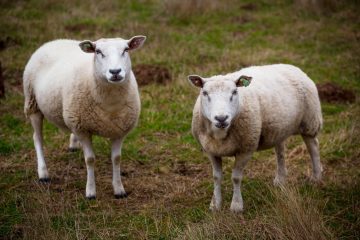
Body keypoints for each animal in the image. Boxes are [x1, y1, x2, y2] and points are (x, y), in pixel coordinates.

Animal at [23, 35, 146, 200]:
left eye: (126, 50)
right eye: (98, 51)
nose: (115, 71)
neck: (109, 105)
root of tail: (55, 40)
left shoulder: (119, 131)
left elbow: (116, 159)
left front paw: (119, 189)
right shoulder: (82, 129)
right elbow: (90, 159)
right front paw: (91, 191)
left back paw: (73, 145)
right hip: (33, 103)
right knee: (38, 138)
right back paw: (43, 173)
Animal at [188, 63, 324, 212]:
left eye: (234, 92)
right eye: (205, 93)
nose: (221, 118)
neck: (221, 134)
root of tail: (291, 66)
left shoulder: (246, 149)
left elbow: (236, 177)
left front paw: (236, 206)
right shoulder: (211, 150)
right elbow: (216, 177)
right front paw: (215, 204)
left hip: (309, 120)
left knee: (313, 147)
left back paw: (316, 178)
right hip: (279, 128)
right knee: (280, 151)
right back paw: (280, 179)